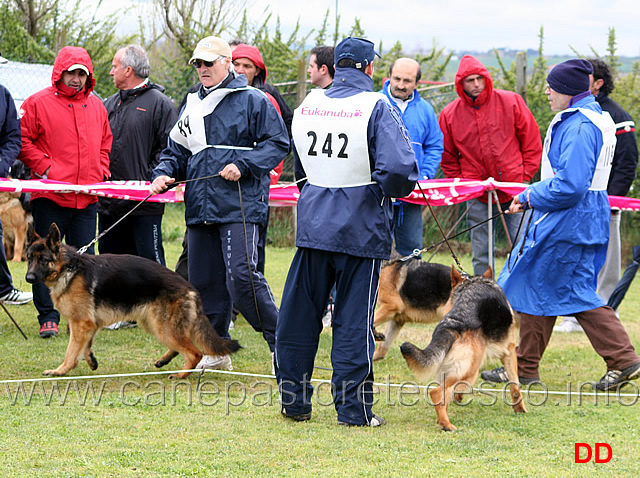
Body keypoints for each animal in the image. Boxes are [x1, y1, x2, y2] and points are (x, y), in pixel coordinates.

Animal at [25, 223, 242, 378]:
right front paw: (91, 360)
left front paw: (60, 371)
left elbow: (71, 352)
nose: (28, 278)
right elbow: (85, 346)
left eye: (43, 260)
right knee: (182, 347)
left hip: (161, 326)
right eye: (29, 258)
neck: (68, 268)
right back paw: (164, 361)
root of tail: (189, 288)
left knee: (194, 353)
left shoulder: (81, 324)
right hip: (154, 324)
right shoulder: (89, 325)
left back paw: (181, 375)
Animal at [400, 268, 524, 432]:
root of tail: (451, 325)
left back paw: (442, 419)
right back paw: (446, 424)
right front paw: (520, 409)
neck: (471, 282)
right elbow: (515, 385)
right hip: (471, 369)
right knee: (436, 392)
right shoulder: (509, 350)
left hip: (452, 369)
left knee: (445, 393)